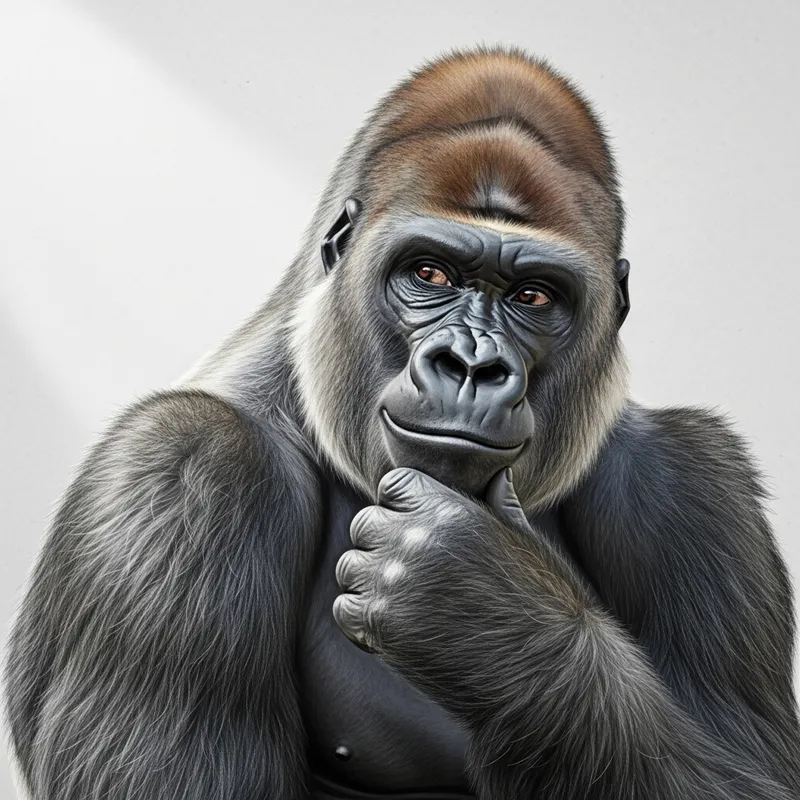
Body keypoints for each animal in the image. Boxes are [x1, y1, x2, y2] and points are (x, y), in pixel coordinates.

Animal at [5, 46, 800, 800]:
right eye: (430, 274)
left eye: (535, 296)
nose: (473, 364)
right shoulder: (185, 469)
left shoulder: (688, 481)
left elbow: (754, 772)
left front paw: (486, 608)